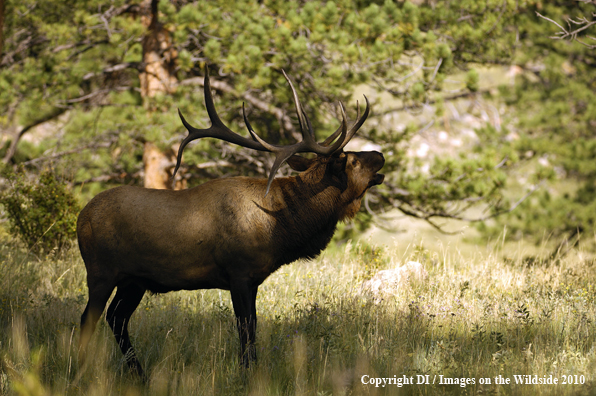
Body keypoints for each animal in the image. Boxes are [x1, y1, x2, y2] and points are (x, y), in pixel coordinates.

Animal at [77, 68, 384, 378]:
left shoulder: (254, 279)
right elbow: (245, 329)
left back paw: (139, 374)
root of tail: (81, 217)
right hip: (101, 271)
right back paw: (80, 370)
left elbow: (253, 327)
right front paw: (246, 374)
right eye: (351, 160)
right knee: (88, 318)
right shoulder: (238, 272)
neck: (279, 227)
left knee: (116, 318)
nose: (380, 154)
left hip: (134, 280)